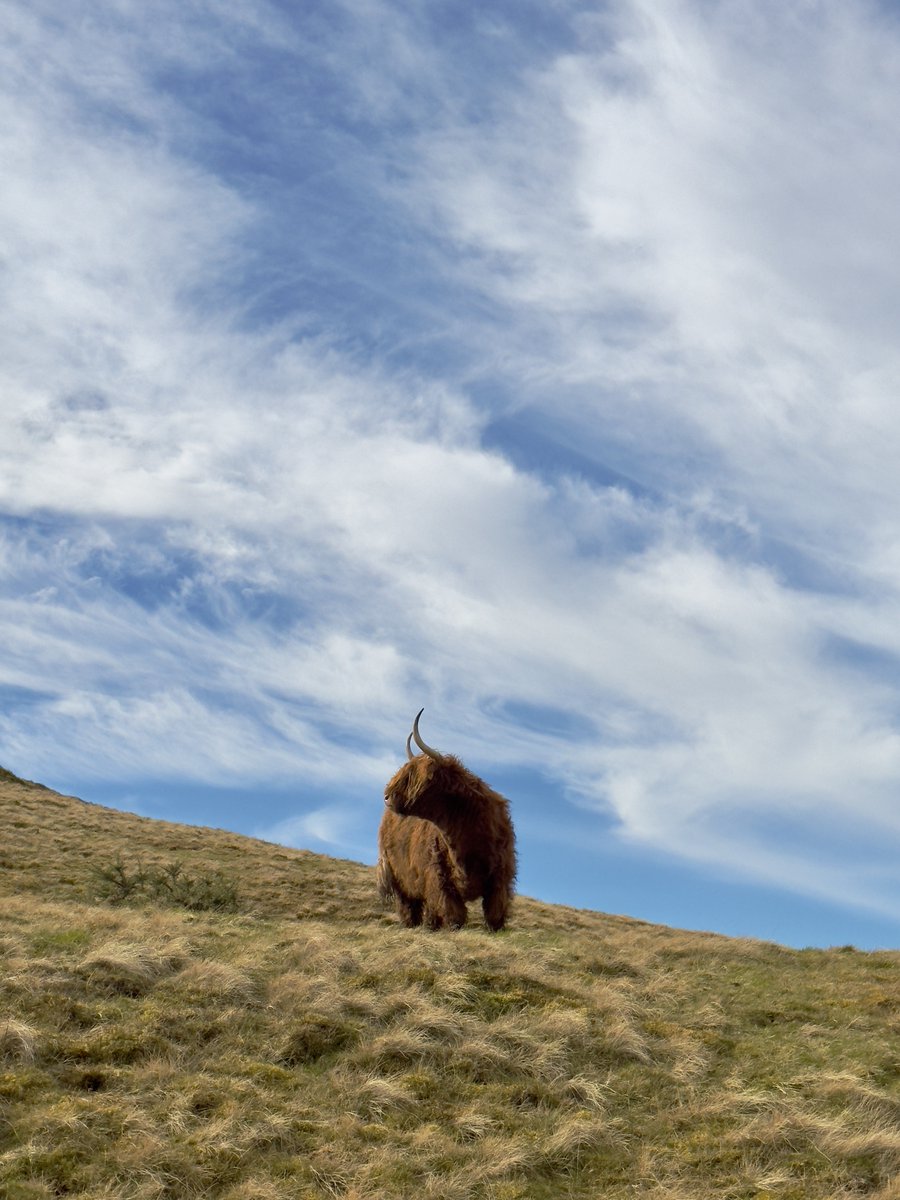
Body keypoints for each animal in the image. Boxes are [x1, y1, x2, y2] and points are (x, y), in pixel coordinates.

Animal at [377, 709, 516, 931]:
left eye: (410, 776)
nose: (386, 796)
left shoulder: (500, 874)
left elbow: (495, 910)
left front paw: (496, 929)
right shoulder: (437, 874)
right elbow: (452, 911)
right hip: (399, 875)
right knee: (408, 904)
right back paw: (413, 925)